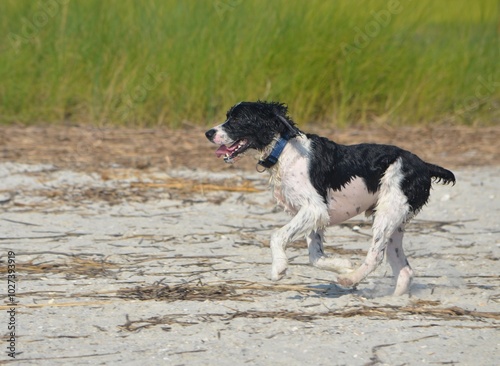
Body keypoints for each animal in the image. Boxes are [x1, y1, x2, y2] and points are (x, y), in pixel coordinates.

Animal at [205, 101, 456, 296]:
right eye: (228, 116)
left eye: (238, 119)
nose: (208, 133)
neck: (284, 149)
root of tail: (424, 165)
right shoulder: (315, 216)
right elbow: (315, 256)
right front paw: (343, 265)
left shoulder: (313, 208)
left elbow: (277, 236)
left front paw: (279, 269)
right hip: (395, 221)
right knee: (404, 269)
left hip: (388, 213)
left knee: (376, 256)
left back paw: (350, 280)